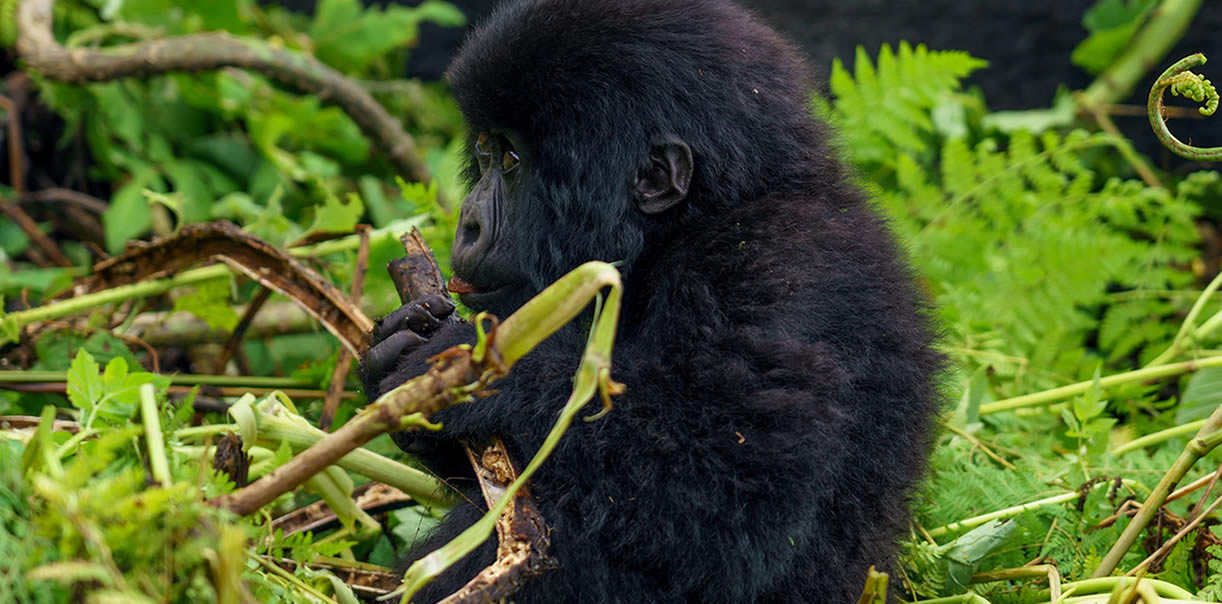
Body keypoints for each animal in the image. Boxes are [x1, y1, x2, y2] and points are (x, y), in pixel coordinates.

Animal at [356, 0, 938, 599]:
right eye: (484, 149)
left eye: (513, 159)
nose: (468, 222)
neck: (701, 215)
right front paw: (402, 345)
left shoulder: (772, 270)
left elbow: (729, 486)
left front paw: (470, 370)